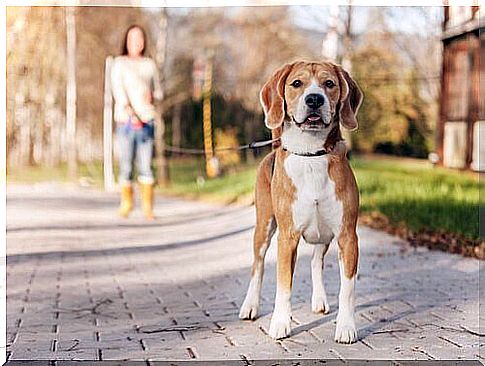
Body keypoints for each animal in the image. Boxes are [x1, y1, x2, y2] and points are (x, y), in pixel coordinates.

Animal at [238, 60, 364, 344]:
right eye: (297, 83)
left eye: (329, 84)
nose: (314, 99)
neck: (311, 154)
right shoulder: (287, 238)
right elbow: (284, 285)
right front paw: (280, 324)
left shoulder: (347, 237)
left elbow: (348, 288)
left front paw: (346, 326)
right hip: (264, 227)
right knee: (257, 267)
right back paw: (250, 305)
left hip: (324, 235)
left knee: (316, 262)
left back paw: (319, 300)